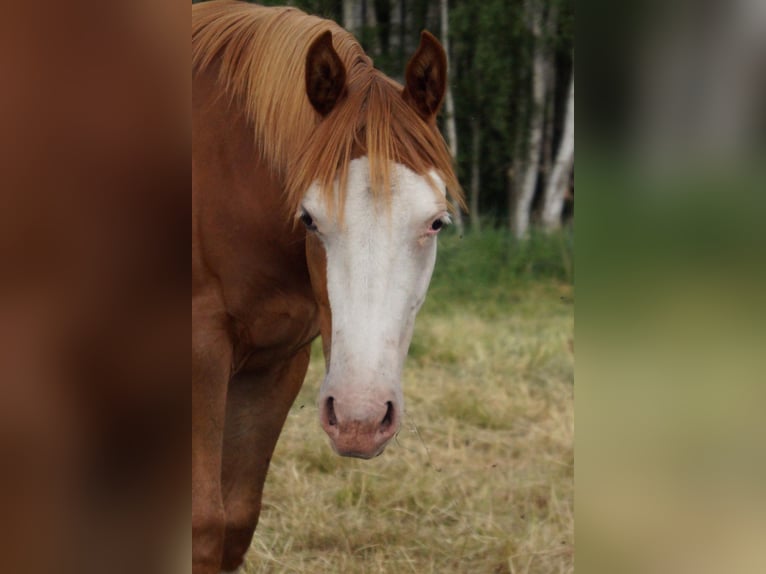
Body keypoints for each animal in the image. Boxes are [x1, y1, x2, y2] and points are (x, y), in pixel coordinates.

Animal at [195, 2, 464, 572]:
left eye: (436, 222)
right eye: (309, 219)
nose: (360, 419)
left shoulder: (275, 364)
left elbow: (236, 521)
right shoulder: (201, 354)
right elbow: (203, 523)